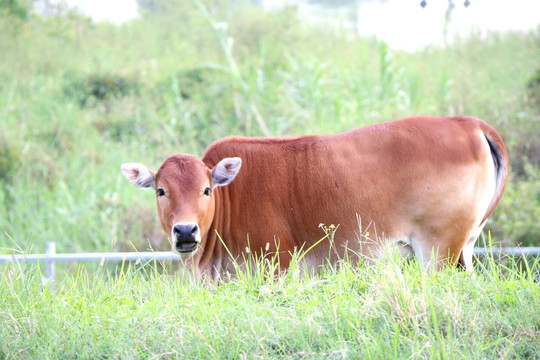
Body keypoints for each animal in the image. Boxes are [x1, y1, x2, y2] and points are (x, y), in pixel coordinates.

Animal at [120, 116, 508, 280]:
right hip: (463, 249)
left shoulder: (276, 267)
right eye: (161, 190)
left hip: (438, 250)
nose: (186, 232)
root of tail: (467, 123)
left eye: (205, 189)